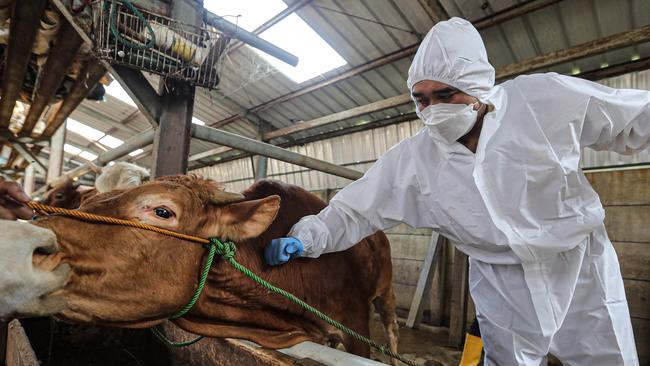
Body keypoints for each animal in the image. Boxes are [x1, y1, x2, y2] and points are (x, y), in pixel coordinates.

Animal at [27, 176, 398, 358]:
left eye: (162, 211)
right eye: (86, 202)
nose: (26, 244)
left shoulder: (355, 324)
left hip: (386, 294)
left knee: (392, 333)